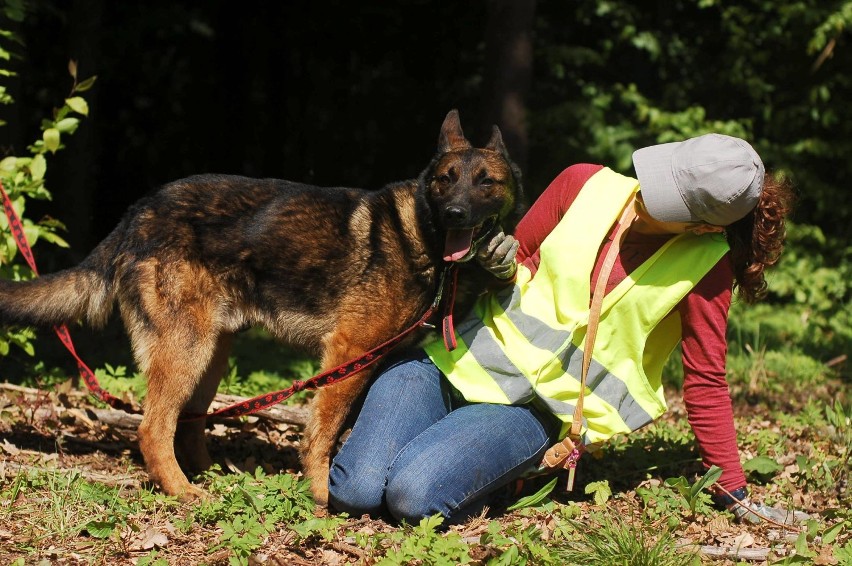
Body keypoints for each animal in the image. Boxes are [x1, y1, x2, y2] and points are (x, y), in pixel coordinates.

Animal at [0, 111, 524, 506]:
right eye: (445, 181)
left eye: (486, 183)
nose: (455, 214)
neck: (423, 234)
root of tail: (136, 214)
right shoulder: (349, 353)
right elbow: (323, 431)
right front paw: (321, 495)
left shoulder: (368, 361)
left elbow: (339, 427)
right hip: (187, 350)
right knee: (152, 428)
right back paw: (184, 493)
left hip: (211, 354)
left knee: (188, 423)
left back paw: (215, 476)